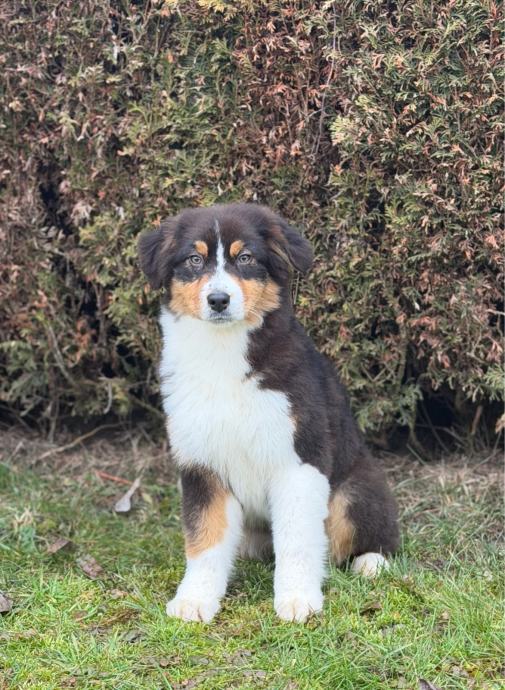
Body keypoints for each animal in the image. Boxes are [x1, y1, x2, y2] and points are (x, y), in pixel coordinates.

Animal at [138, 203, 399, 623]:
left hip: (354, 488)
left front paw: (297, 600)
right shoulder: (201, 465)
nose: (219, 300)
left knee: (369, 536)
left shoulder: (298, 460)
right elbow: (204, 539)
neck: (223, 354)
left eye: (246, 258)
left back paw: (371, 563)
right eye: (194, 260)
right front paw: (195, 599)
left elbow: (297, 539)